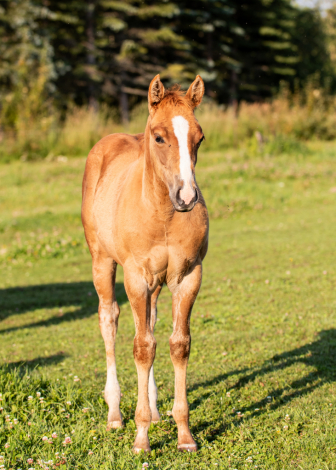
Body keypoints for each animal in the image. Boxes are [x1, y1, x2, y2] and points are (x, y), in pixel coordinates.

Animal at [81, 75, 207, 454]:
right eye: (159, 136)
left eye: (199, 137)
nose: (187, 197)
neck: (162, 212)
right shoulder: (136, 277)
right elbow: (141, 347)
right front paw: (140, 438)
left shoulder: (188, 276)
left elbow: (177, 344)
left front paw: (184, 435)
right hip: (103, 263)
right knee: (109, 320)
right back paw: (115, 414)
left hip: (156, 282)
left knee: (149, 322)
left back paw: (153, 409)